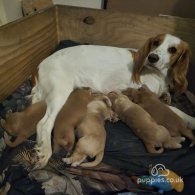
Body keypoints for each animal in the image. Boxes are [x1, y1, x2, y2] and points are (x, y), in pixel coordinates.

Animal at [32, 33, 195, 168]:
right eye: (156, 42)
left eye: (172, 49)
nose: (152, 57)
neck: (159, 74)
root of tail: (39, 66)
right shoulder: (146, 96)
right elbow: (176, 110)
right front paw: (191, 120)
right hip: (60, 92)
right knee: (44, 124)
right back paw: (45, 152)